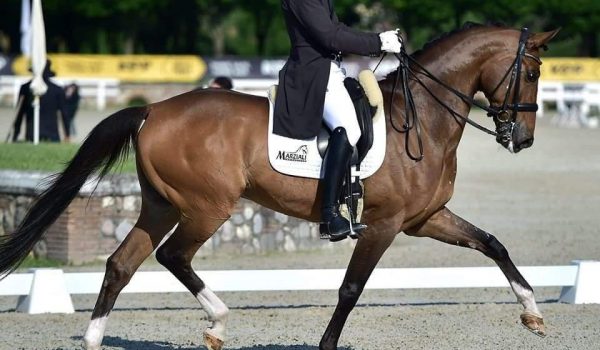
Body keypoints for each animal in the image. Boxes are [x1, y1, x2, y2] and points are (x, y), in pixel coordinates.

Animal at [1, 23, 556, 348]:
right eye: (531, 73)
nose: (524, 138)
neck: (418, 119)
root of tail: (153, 109)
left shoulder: (425, 219)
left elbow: (492, 244)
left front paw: (532, 313)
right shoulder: (385, 225)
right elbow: (351, 288)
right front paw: (327, 345)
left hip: (161, 205)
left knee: (121, 263)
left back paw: (96, 338)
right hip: (207, 207)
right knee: (172, 256)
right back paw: (218, 322)